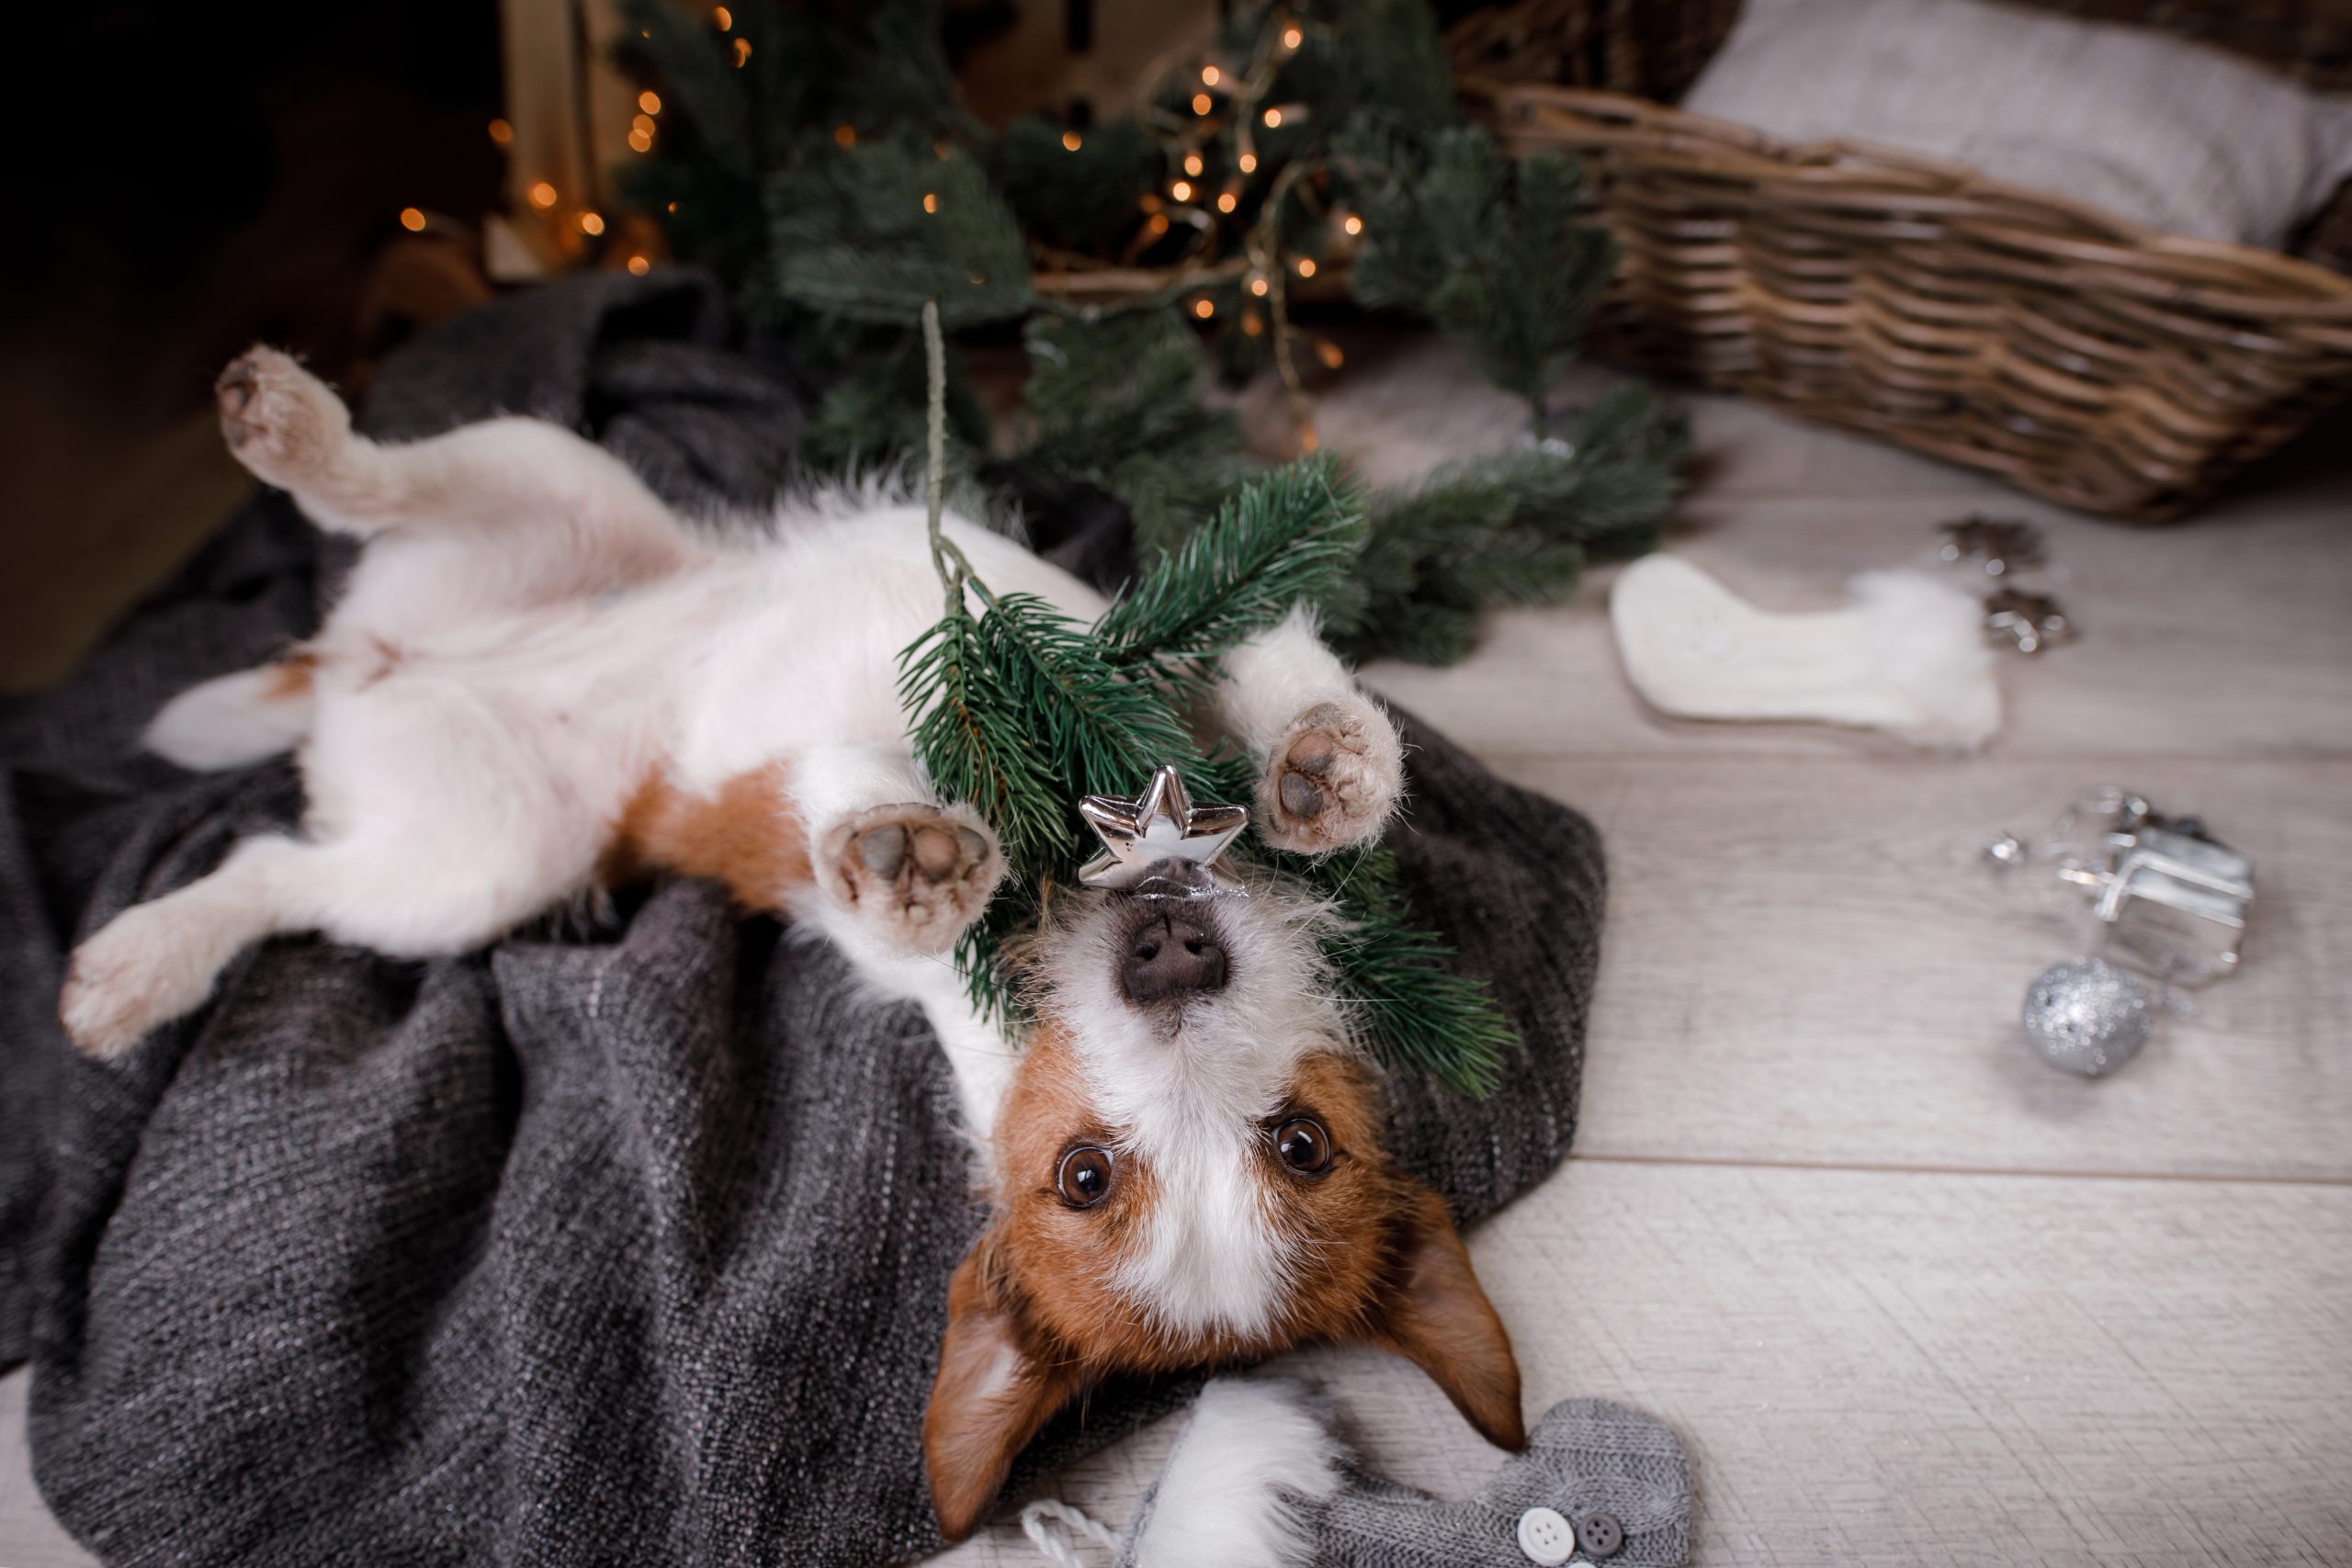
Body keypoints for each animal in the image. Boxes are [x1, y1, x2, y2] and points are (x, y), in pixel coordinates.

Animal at [59, 350, 1523, 1541]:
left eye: (1298, 1143)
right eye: (1087, 1175)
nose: (1170, 953)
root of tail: (369, 671)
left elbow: (902, 873)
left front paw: (920, 862)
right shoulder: (1140, 662)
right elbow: (1263, 668)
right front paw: (1319, 769)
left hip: (470, 865)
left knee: (275, 867)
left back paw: (136, 963)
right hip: (556, 487)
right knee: (388, 482)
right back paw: (288, 423)